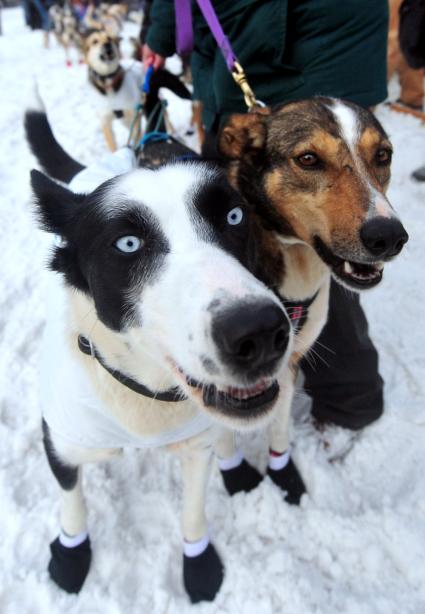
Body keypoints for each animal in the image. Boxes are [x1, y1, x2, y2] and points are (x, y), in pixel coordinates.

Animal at [24, 108, 294, 604]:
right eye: (127, 244)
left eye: (233, 216)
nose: (261, 333)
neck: (143, 391)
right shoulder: (61, 443)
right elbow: (72, 505)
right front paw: (72, 554)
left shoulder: (195, 447)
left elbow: (193, 511)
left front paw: (199, 564)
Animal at [215, 96, 408, 500]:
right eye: (308, 159)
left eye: (383, 155)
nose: (389, 237)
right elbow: (222, 433)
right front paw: (237, 478)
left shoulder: (289, 364)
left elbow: (279, 431)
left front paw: (285, 476)